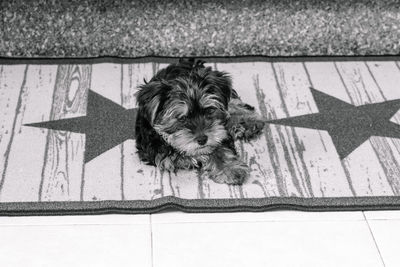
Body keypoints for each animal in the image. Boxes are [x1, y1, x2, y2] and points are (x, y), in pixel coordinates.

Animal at [134, 57, 266, 185]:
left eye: (209, 111)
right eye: (182, 118)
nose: (202, 139)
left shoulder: (219, 132)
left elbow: (219, 146)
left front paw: (230, 168)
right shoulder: (157, 151)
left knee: (233, 103)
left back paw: (248, 121)